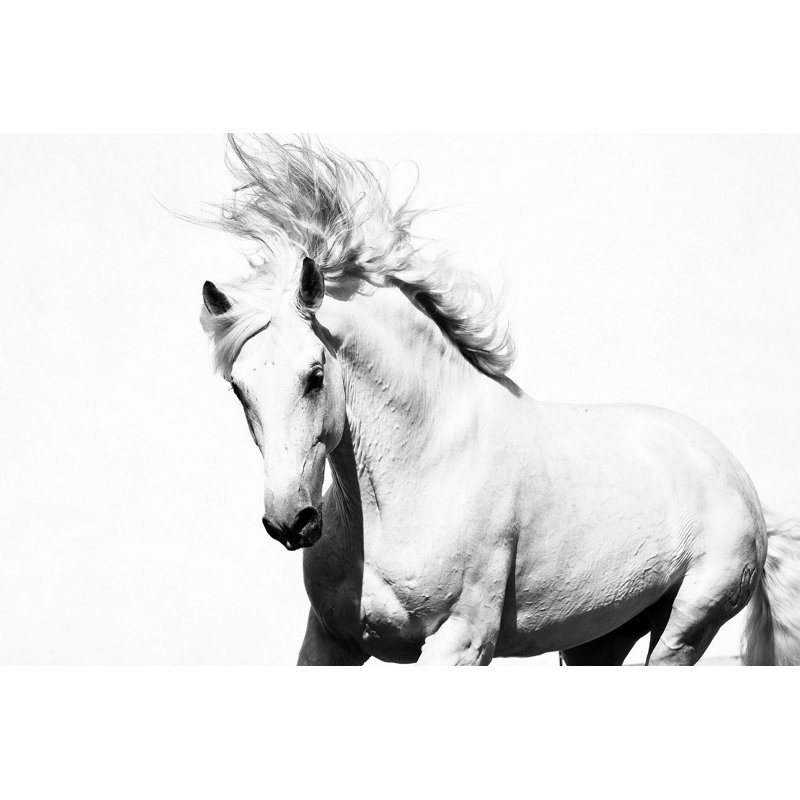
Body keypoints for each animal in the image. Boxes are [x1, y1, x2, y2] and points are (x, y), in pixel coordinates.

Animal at [200, 135, 800, 665]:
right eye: (239, 388)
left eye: (316, 374)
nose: (290, 521)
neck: (418, 472)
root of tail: (734, 474)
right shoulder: (331, 643)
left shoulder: (461, 642)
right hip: (595, 641)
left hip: (685, 628)